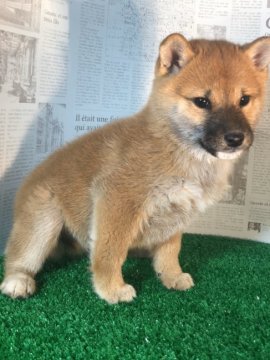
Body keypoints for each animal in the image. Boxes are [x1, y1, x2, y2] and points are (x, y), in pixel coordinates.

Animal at [0, 33, 270, 304]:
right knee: (18, 255)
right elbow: (110, 252)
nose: (235, 138)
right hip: (44, 222)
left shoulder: (176, 214)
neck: (177, 148)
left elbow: (170, 252)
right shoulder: (118, 201)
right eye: (202, 102)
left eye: (244, 100)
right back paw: (18, 280)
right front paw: (111, 288)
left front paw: (171, 276)